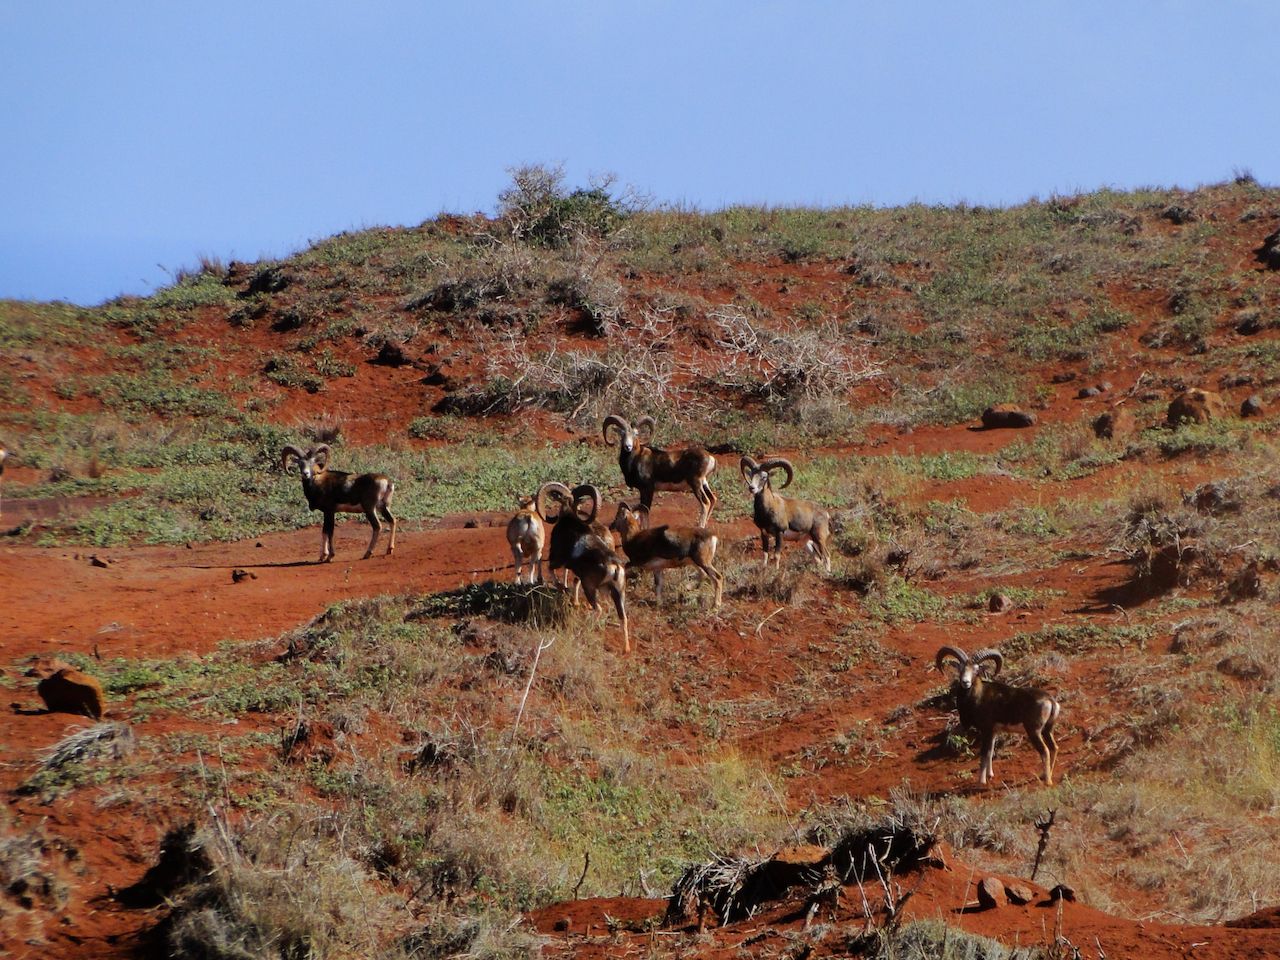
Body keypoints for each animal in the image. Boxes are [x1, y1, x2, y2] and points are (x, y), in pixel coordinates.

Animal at [535, 481, 629, 655]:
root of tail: (614, 566)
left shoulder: (557, 560)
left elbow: (552, 572)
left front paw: (561, 587)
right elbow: (574, 582)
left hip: (590, 587)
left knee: (598, 609)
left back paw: (585, 628)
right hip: (618, 592)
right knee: (622, 617)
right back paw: (626, 649)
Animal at [936, 647, 1064, 788]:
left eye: (976, 670)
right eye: (960, 668)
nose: (965, 682)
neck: (978, 696)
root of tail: (1050, 701)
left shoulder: (986, 730)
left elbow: (984, 753)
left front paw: (981, 781)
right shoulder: (994, 732)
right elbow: (990, 751)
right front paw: (990, 775)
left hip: (1034, 732)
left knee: (1045, 751)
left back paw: (1047, 781)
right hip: (1047, 730)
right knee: (1054, 748)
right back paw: (1045, 775)